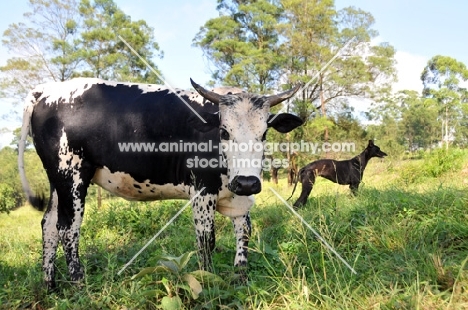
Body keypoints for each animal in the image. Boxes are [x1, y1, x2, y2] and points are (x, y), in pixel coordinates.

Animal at [18, 78, 302, 290]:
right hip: (71, 175)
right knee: (68, 228)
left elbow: (243, 236)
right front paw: (209, 282)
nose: (246, 182)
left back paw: (50, 285)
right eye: (224, 132)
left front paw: (241, 281)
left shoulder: (240, 197)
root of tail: (44, 92)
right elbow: (206, 241)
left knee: (49, 225)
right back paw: (79, 284)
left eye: (263, 133)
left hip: (58, 181)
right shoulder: (202, 192)